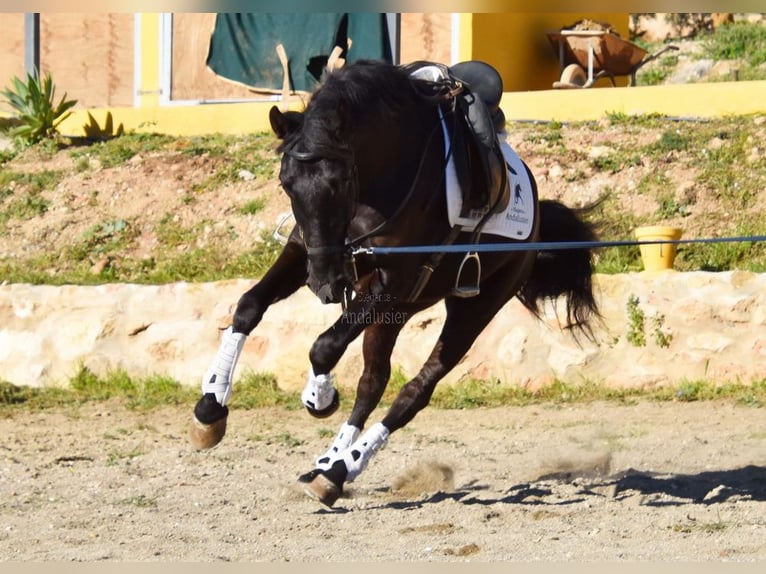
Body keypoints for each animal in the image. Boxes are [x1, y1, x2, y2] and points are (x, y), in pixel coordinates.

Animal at [190, 59, 600, 508]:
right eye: (286, 182)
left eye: (338, 181)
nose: (325, 284)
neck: (382, 175)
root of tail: (538, 212)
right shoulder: (307, 251)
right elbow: (249, 306)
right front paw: (210, 408)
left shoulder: (393, 279)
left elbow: (324, 346)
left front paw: (320, 397)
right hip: (398, 310)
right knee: (373, 382)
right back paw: (329, 466)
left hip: (470, 307)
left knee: (414, 390)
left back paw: (341, 468)